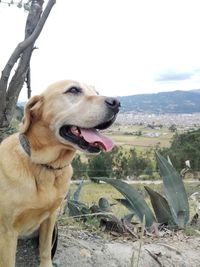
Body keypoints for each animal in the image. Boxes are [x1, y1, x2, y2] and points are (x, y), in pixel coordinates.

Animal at [0, 80, 119, 267]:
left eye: (97, 92)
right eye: (73, 90)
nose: (117, 103)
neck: (45, 167)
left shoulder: (50, 218)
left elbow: (45, 250)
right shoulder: (8, 231)